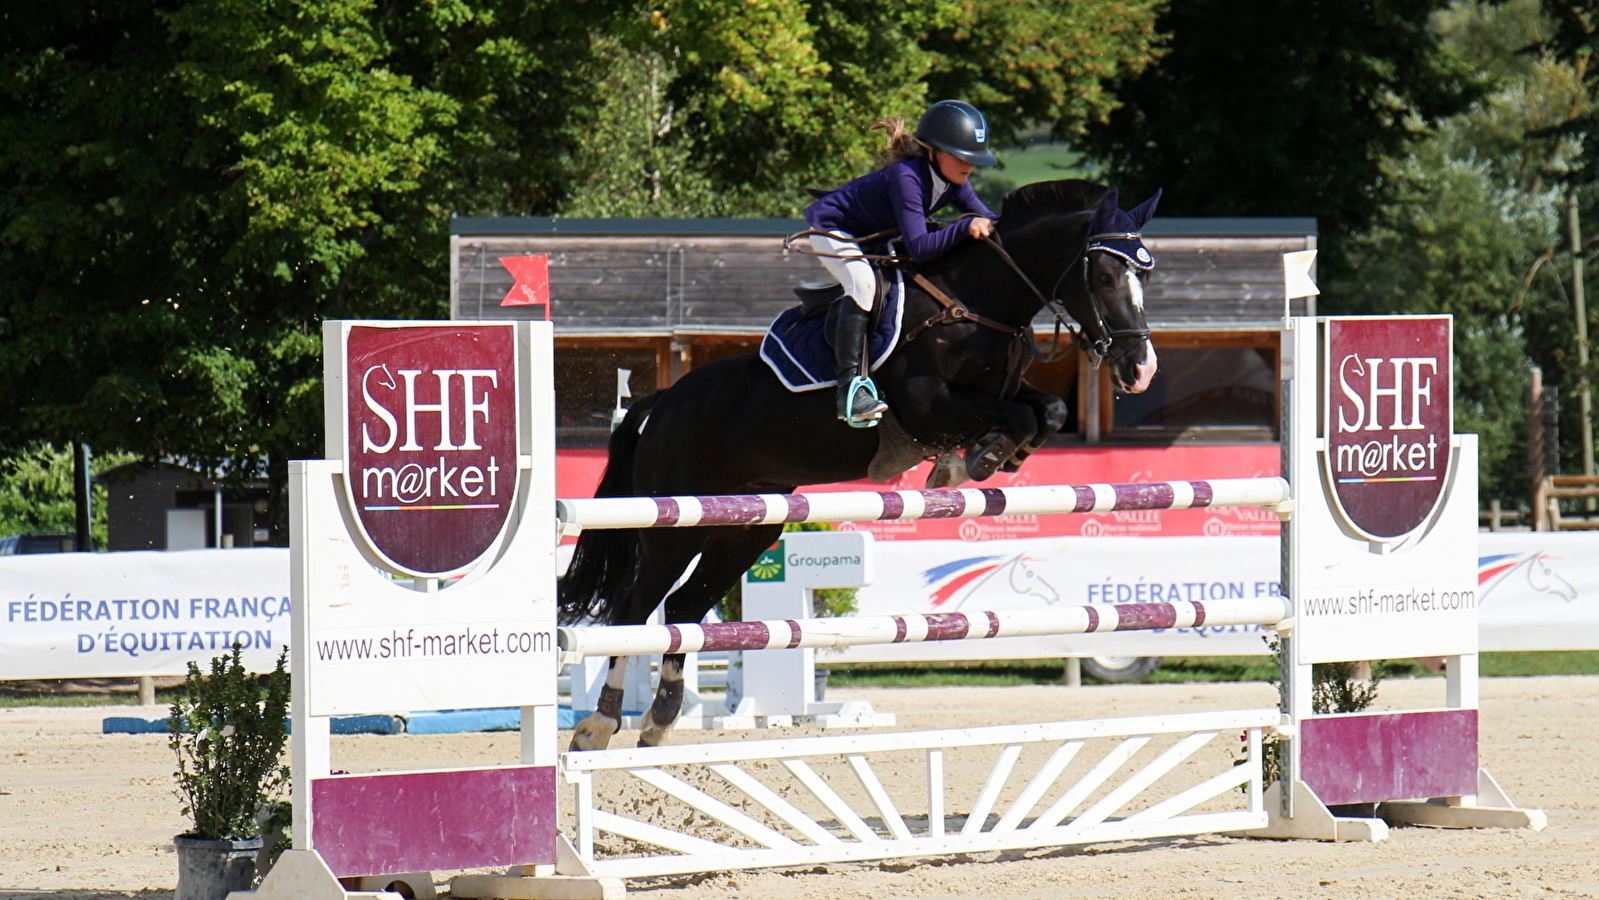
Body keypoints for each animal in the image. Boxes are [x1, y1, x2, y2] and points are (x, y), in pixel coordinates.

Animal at [562, 179, 1164, 751]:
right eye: (1104, 275)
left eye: (1145, 277)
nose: (1141, 370)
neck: (975, 304)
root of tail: (664, 401)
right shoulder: (928, 405)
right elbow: (1017, 415)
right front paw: (974, 460)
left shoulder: (1000, 393)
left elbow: (1048, 409)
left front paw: (987, 456)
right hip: (673, 524)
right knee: (633, 609)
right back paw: (599, 723)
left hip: (746, 527)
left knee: (684, 608)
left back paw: (659, 721)